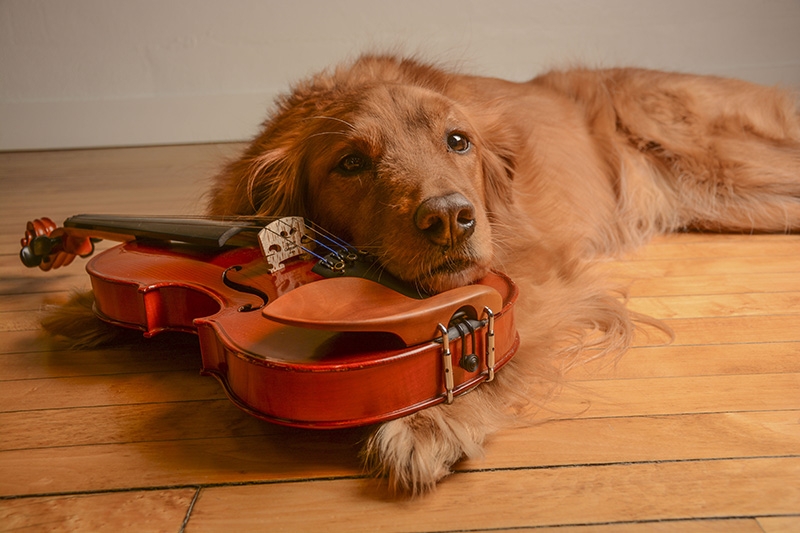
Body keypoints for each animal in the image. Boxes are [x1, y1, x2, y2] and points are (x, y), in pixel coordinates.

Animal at [42, 54, 800, 494]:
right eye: (351, 163)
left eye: (457, 141)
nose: (452, 219)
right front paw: (81, 310)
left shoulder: (535, 273)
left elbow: (481, 338)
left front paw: (436, 417)